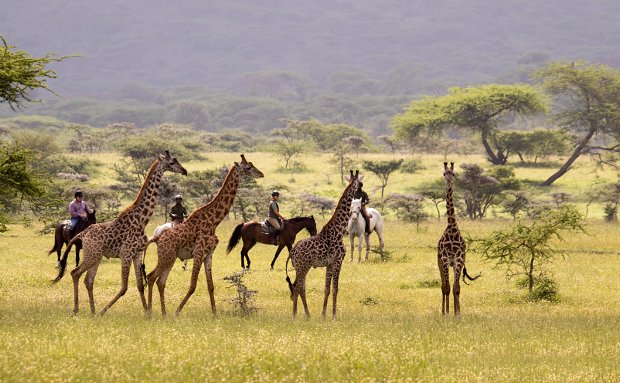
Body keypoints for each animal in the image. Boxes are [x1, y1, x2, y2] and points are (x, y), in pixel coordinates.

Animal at [53, 150, 186, 316]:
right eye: (172, 162)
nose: (184, 171)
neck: (141, 221)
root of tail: (82, 234)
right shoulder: (126, 253)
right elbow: (124, 287)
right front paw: (103, 311)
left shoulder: (137, 253)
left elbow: (140, 285)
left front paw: (147, 313)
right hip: (92, 255)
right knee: (75, 273)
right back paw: (78, 309)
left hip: (96, 256)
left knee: (88, 280)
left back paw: (92, 311)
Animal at [145, 154, 264, 318]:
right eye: (248, 167)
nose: (261, 174)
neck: (214, 221)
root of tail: (157, 238)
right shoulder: (199, 252)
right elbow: (193, 285)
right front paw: (177, 312)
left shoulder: (208, 254)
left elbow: (210, 285)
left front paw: (214, 314)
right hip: (166, 255)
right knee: (151, 277)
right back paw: (150, 313)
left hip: (171, 257)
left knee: (160, 281)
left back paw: (163, 314)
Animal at [286, 170, 364, 320]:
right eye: (359, 182)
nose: (362, 187)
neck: (339, 229)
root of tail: (292, 251)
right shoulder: (338, 261)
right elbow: (335, 289)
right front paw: (333, 316)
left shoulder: (329, 264)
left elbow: (326, 289)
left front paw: (323, 314)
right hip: (303, 267)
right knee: (296, 286)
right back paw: (294, 315)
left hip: (302, 267)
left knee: (300, 287)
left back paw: (307, 315)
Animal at [436, 160, 480, 316]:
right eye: (444, 173)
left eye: (453, 174)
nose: (449, 182)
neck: (452, 229)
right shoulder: (445, 259)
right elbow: (447, 287)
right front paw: (447, 313)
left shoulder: (459, 259)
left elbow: (456, 288)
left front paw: (457, 313)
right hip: (440, 262)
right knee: (443, 285)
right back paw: (444, 311)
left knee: (452, 286)